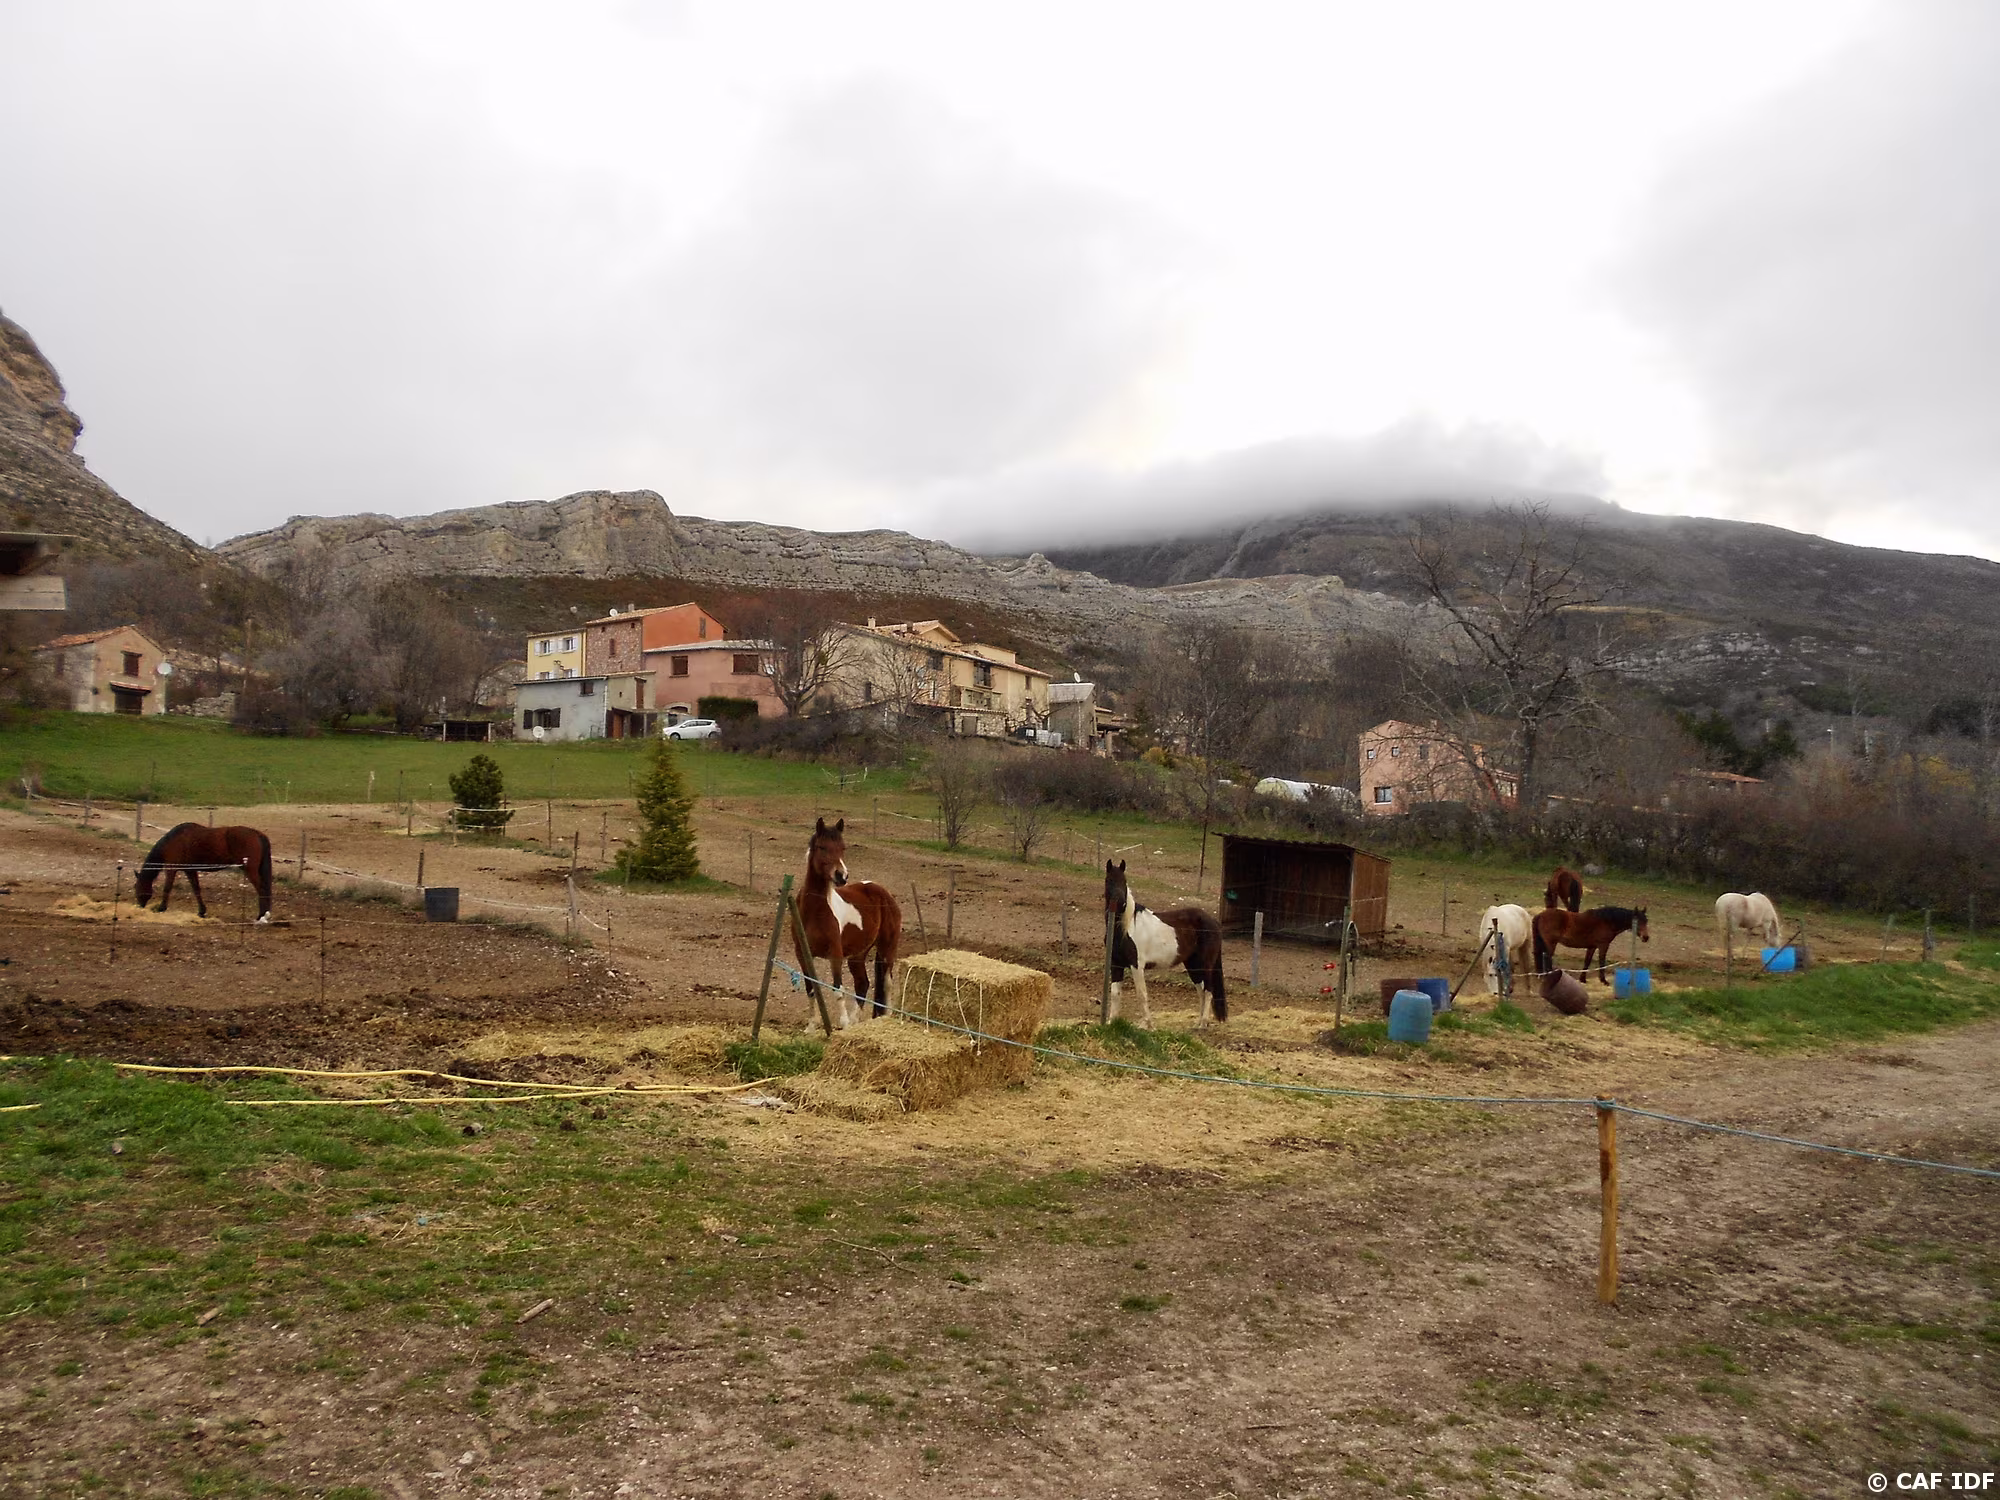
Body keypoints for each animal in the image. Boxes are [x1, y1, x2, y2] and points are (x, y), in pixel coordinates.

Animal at [134, 823, 274, 922]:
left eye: (136, 886)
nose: (139, 905)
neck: (172, 841)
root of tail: (257, 834)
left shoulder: (171, 868)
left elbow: (167, 888)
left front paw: (161, 908)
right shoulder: (190, 870)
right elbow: (196, 889)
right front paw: (202, 911)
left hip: (250, 870)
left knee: (262, 889)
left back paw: (261, 916)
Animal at [798, 817, 902, 1027]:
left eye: (842, 848)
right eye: (822, 847)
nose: (841, 876)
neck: (815, 911)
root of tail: (883, 892)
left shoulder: (835, 954)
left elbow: (838, 989)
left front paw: (843, 1023)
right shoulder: (803, 955)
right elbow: (811, 988)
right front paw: (811, 1026)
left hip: (887, 949)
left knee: (887, 984)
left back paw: (882, 1019)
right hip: (858, 955)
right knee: (862, 984)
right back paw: (855, 1022)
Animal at [1102, 859, 1227, 1027]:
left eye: (1124, 881)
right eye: (1109, 880)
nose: (1121, 903)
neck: (1124, 928)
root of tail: (1214, 922)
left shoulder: (1137, 965)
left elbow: (1141, 994)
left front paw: (1147, 1025)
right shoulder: (1116, 964)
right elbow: (1115, 993)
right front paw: (1112, 1022)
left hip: (1204, 965)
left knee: (1208, 990)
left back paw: (1203, 1024)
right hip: (1192, 965)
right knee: (1201, 991)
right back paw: (1198, 1023)